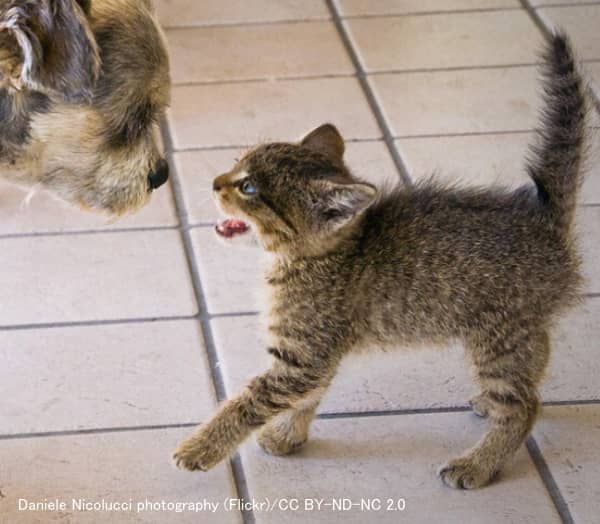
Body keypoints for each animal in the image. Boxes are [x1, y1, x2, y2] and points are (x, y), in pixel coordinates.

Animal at [173, 33, 584, 492]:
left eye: (248, 188)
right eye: (235, 164)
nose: (215, 183)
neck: (310, 259)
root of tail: (542, 217)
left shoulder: (303, 355)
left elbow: (248, 403)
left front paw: (200, 447)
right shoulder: (318, 354)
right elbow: (308, 397)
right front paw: (289, 435)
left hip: (499, 336)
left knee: (524, 407)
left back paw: (477, 464)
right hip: (515, 334)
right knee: (533, 374)